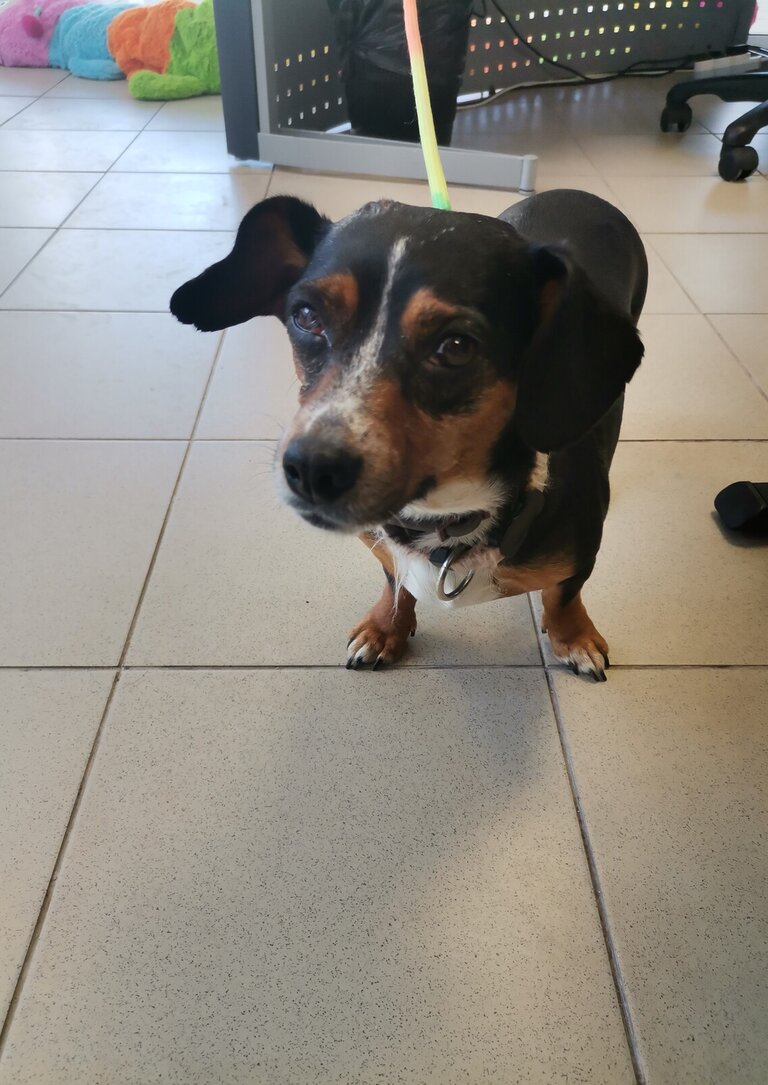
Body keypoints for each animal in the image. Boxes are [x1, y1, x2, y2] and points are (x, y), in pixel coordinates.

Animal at [171, 188, 647, 680]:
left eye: (456, 346)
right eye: (306, 316)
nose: (311, 470)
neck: (447, 520)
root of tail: (579, 193)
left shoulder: (579, 558)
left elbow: (563, 595)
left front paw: (574, 638)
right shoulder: (386, 546)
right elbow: (396, 582)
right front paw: (386, 628)